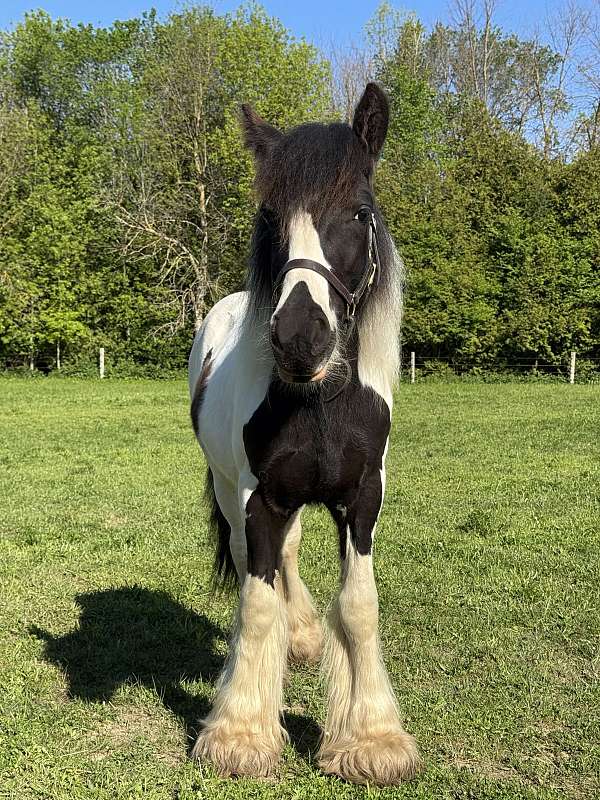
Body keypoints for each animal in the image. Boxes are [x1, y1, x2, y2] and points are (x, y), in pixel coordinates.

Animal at [188, 83, 420, 786]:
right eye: (270, 218)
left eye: (358, 213)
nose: (299, 339)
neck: (318, 403)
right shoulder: (260, 499)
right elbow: (256, 603)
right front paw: (240, 733)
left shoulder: (362, 500)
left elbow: (360, 605)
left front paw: (370, 737)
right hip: (233, 491)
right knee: (255, 566)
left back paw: (303, 639)